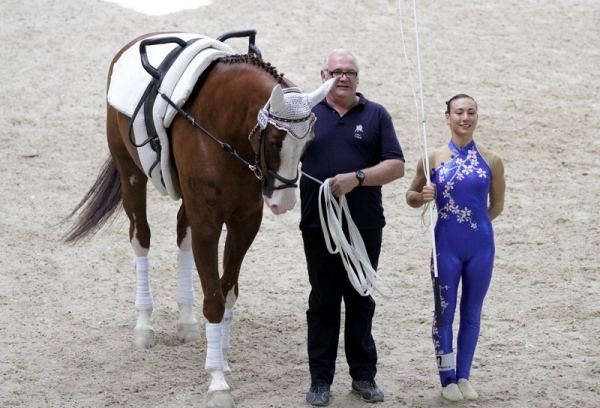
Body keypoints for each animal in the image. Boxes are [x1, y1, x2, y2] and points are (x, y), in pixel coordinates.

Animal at [64, 32, 338, 408]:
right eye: (275, 141)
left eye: (309, 142)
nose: (283, 202)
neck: (225, 134)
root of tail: (137, 41)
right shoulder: (209, 223)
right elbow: (214, 301)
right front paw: (218, 381)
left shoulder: (244, 222)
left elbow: (228, 291)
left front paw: (220, 355)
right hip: (130, 172)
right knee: (141, 237)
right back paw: (144, 327)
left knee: (182, 235)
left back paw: (186, 322)